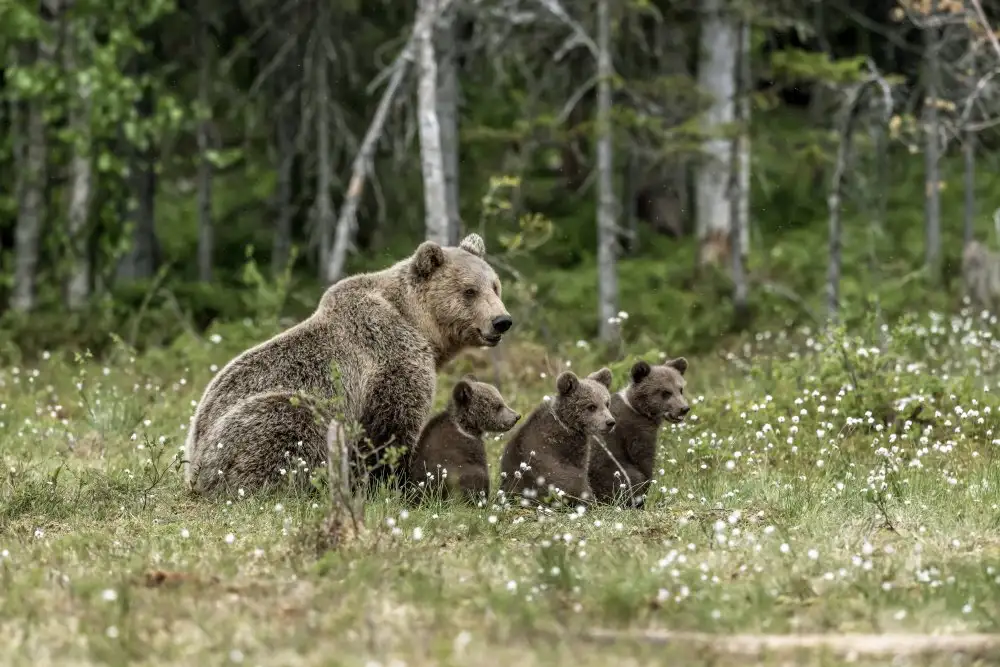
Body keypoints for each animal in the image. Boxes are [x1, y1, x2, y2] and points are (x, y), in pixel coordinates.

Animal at [183, 233, 512, 497]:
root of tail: (194, 467)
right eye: (469, 291)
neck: (421, 325)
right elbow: (392, 425)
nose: (502, 321)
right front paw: (394, 482)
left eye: (495, 286)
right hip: (250, 430)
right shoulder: (391, 355)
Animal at [588, 357, 689, 508]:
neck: (640, 410)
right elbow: (643, 462)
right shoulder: (636, 431)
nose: (684, 408)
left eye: (680, 389)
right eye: (666, 392)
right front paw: (642, 499)